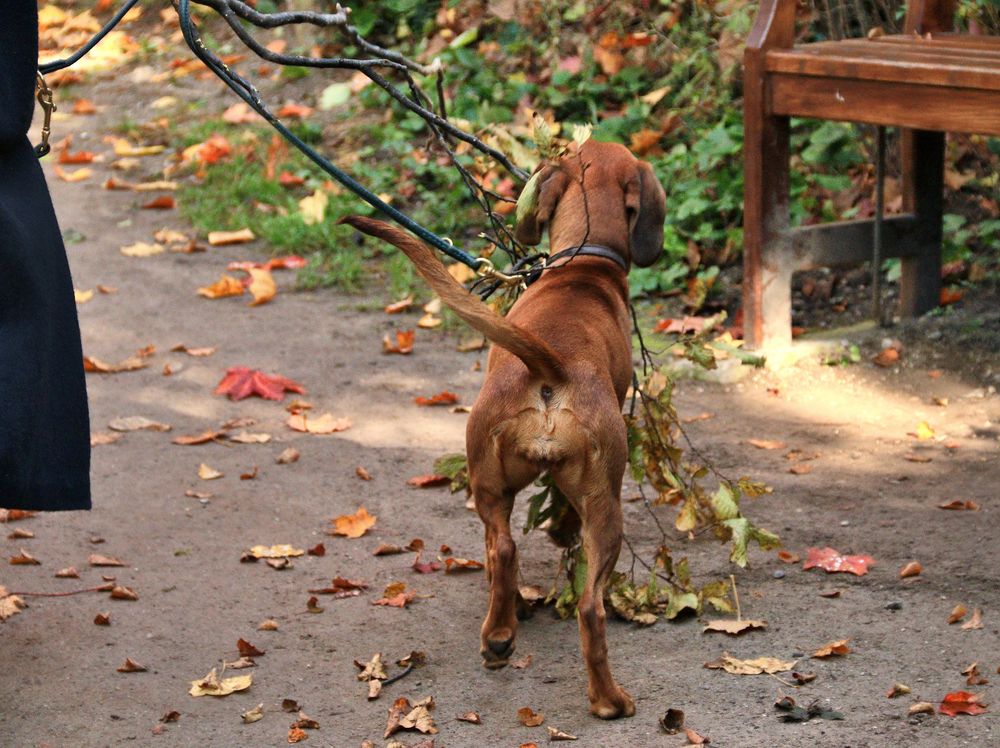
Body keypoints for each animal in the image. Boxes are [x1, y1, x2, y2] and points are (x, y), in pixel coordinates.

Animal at [342, 137, 664, 716]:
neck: (583, 268)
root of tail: (552, 366)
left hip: (492, 482)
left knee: (509, 554)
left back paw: (504, 637)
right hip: (602, 501)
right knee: (581, 601)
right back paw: (603, 695)